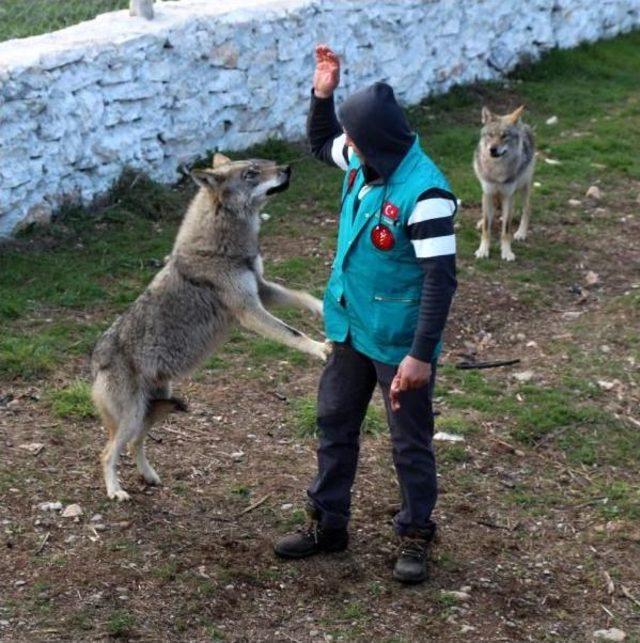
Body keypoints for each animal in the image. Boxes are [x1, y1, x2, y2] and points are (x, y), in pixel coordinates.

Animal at [92, 155, 328, 504]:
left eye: (265, 162)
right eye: (251, 173)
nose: (287, 168)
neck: (223, 245)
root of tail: (93, 364)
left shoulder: (262, 288)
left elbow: (303, 297)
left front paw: (325, 307)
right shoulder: (249, 309)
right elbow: (292, 333)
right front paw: (320, 348)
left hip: (154, 408)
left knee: (135, 444)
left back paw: (149, 477)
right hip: (133, 416)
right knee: (107, 453)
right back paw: (115, 490)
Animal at [476, 105, 536, 262]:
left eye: (504, 136)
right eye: (490, 135)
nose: (492, 149)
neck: (497, 171)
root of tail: (523, 125)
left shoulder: (509, 195)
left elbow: (506, 229)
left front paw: (507, 252)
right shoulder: (488, 192)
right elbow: (486, 227)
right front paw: (483, 250)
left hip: (524, 187)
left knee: (527, 208)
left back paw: (521, 233)